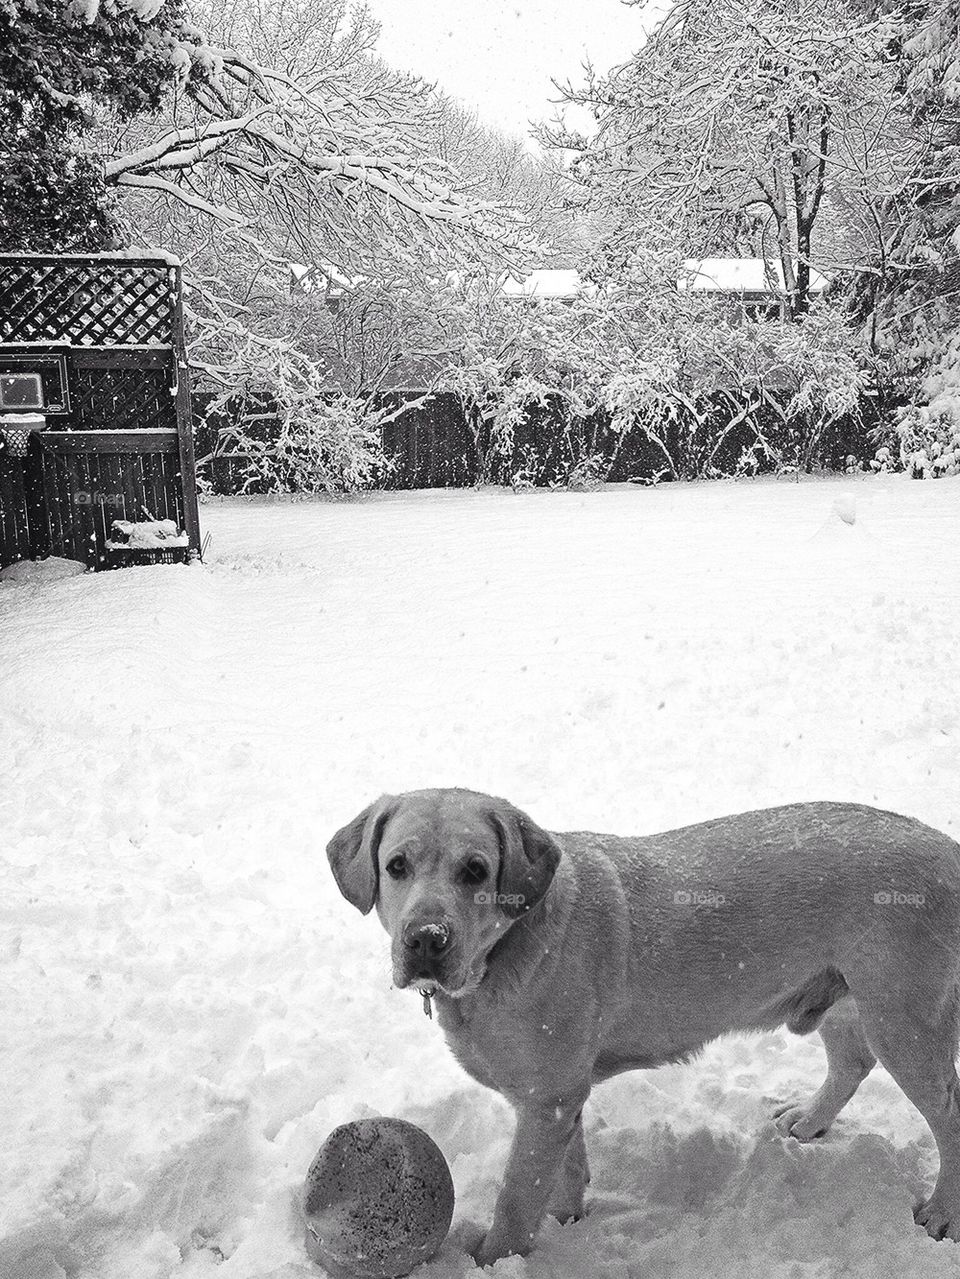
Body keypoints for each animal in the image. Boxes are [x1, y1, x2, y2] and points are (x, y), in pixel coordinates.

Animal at [329, 787, 960, 1268]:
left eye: (476, 870)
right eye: (397, 866)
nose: (426, 939)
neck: (504, 948)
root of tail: (949, 850)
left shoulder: (546, 1098)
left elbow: (516, 1196)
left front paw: (491, 1259)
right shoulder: (558, 1095)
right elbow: (564, 1172)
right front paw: (566, 1223)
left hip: (904, 1019)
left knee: (948, 1114)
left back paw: (942, 1214)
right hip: (846, 998)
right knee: (852, 1062)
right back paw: (809, 1120)